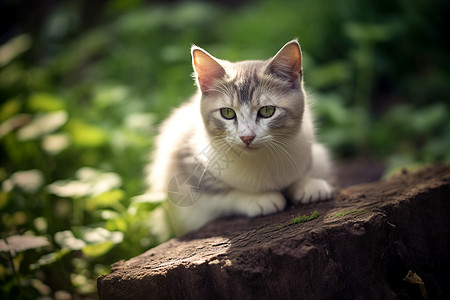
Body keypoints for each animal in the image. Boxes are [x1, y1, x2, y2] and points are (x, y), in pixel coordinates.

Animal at [146, 39, 332, 236]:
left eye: (267, 111)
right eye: (227, 113)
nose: (247, 137)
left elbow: (304, 170)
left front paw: (309, 184)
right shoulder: (183, 176)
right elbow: (220, 196)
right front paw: (258, 199)